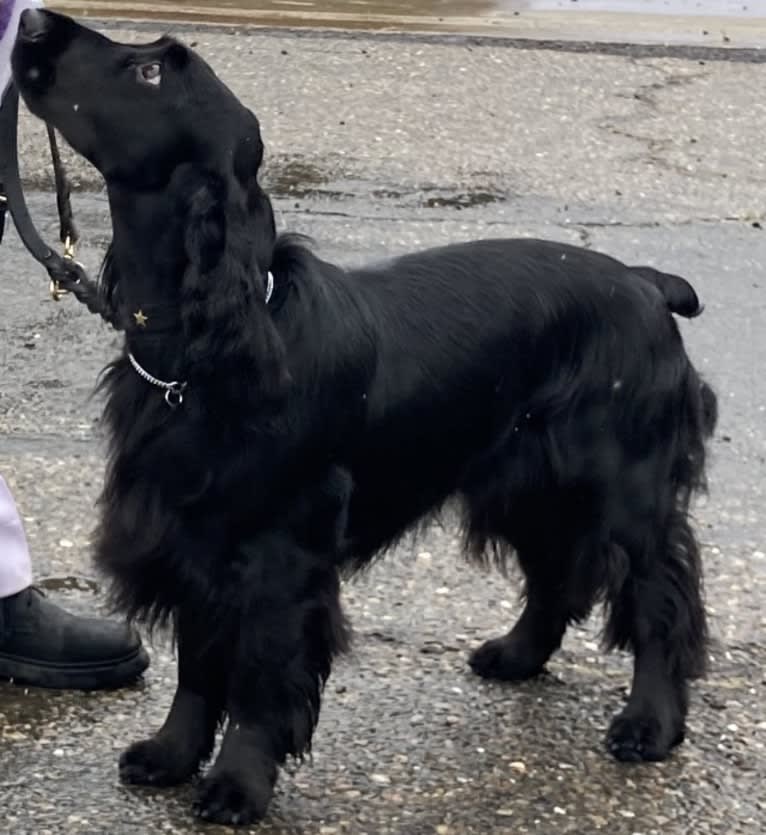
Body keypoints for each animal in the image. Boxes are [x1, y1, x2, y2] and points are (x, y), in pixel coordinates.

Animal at [13, 9, 720, 828]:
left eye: (150, 73)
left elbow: (257, 677)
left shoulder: (277, 555)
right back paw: (514, 657)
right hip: (525, 482)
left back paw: (650, 723)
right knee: (556, 576)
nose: (31, 19)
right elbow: (197, 665)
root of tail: (645, 281)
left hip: (624, 491)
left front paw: (237, 785)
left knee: (659, 596)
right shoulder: (197, 537)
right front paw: (170, 754)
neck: (208, 346)